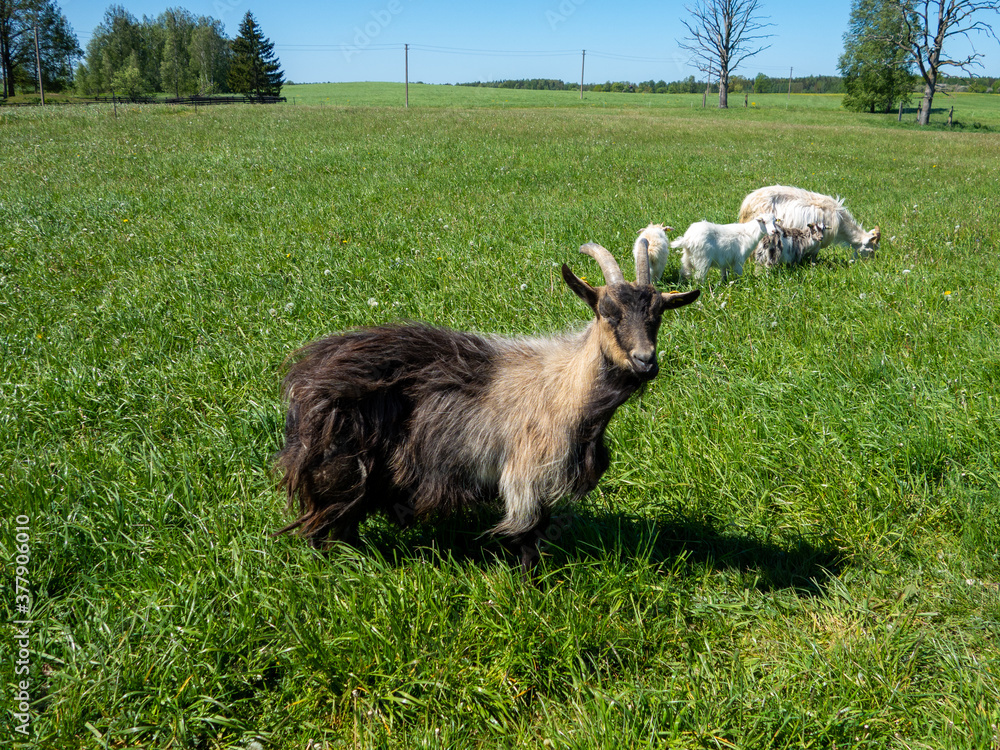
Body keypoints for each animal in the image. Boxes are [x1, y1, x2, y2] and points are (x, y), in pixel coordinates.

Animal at [274, 241, 701, 573]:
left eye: (658, 316)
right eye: (608, 312)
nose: (646, 361)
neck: (566, 388)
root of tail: (304, 375)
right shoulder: (526, 473)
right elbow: (529, 536)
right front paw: (532, 588)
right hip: (340, 467)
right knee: (330, 523)